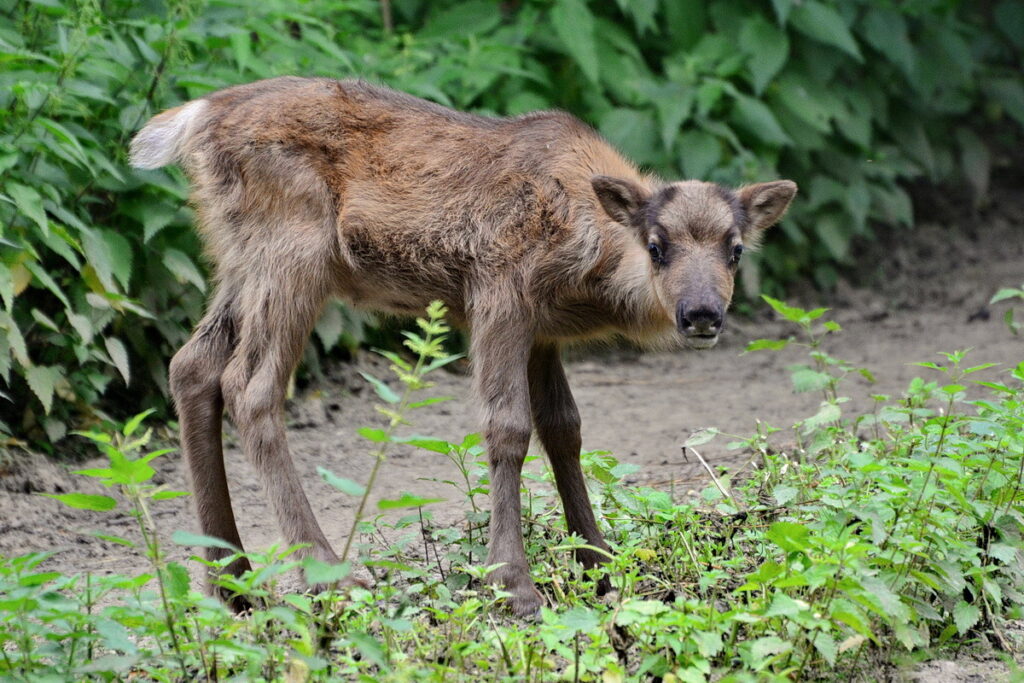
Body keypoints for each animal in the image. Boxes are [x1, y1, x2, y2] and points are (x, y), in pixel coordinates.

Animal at [130, 77, 798, 618]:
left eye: (736, 249)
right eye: (656, 245)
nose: (701, 314)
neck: (587, 261)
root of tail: (194, 118)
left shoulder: (543, 331)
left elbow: (565, 428)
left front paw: (601, 567)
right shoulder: (499, 295)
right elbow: (507, 428)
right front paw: (514, 586)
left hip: (236, 258)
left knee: (191, 365)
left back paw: (232, 585)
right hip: (292, 251)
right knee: (250, 388)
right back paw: (330, 579)